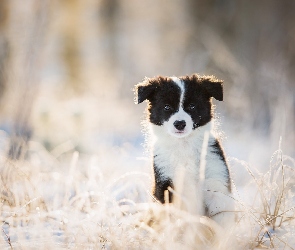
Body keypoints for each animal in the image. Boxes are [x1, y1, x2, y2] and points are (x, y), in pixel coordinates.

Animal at [136, 73, 236, 227]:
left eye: (192, 106)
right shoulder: (167, 184)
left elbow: (222, 217)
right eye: (166, 107)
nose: (179, 124)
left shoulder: (216, 179)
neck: (184, 145)